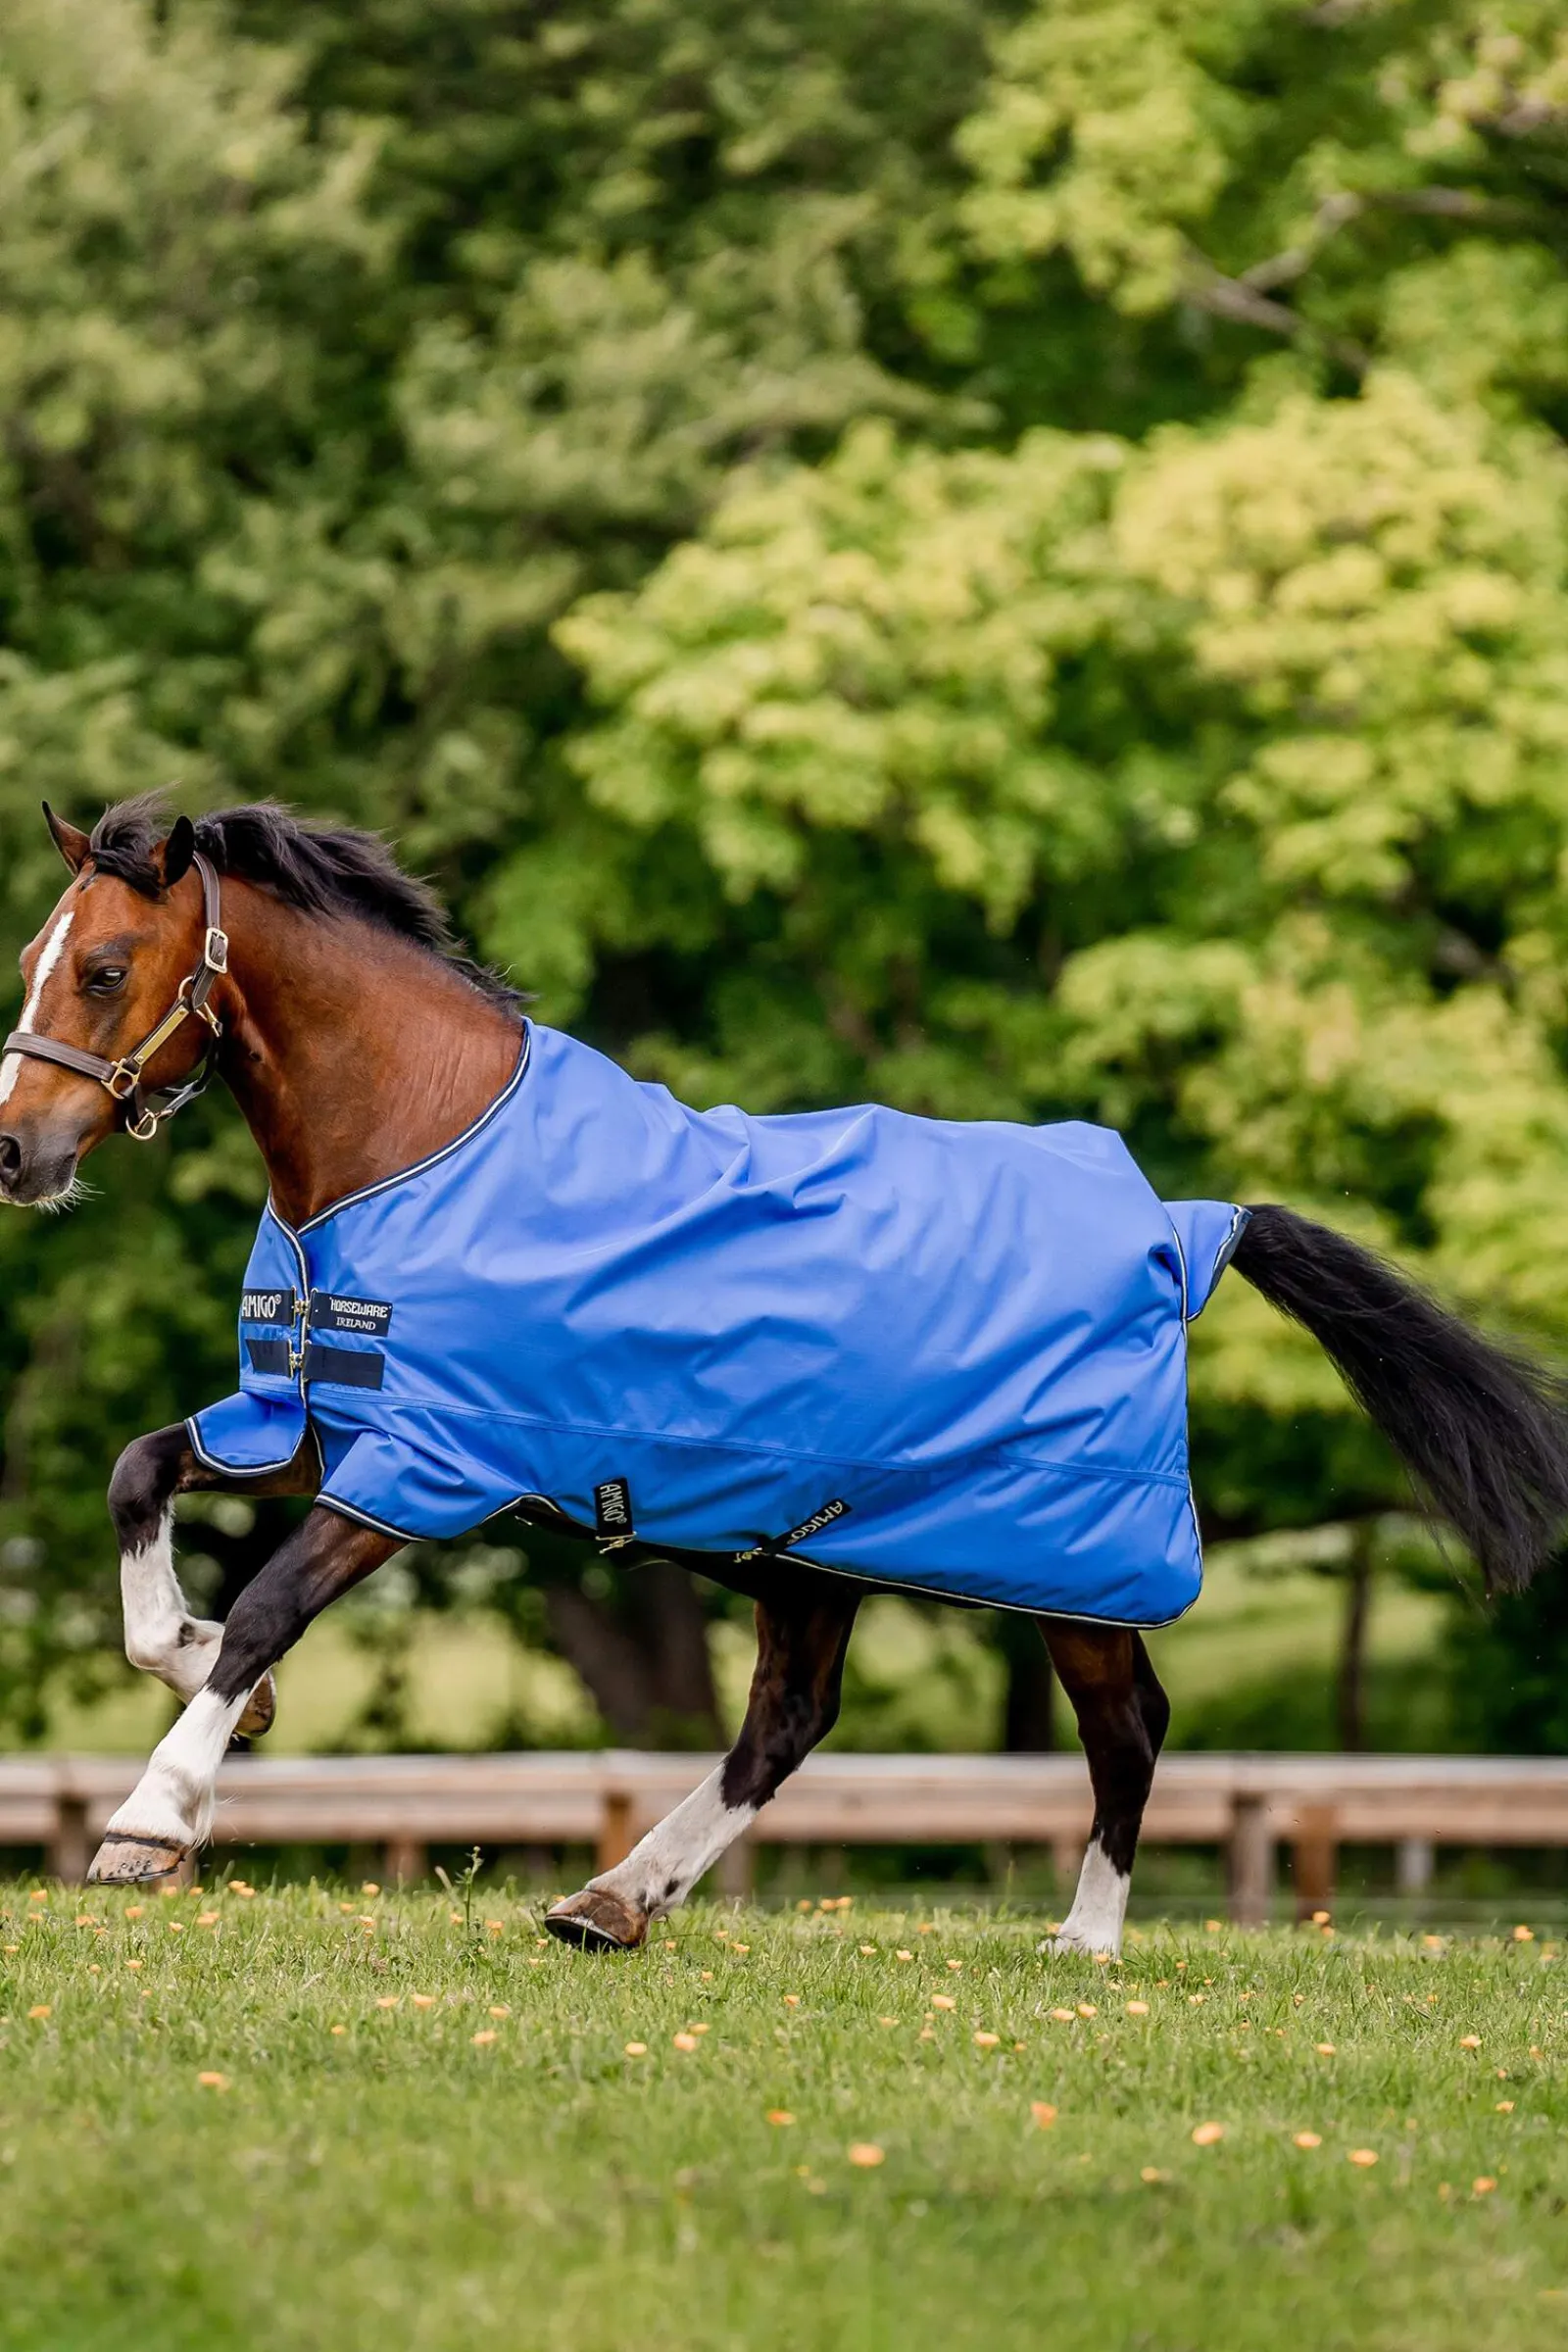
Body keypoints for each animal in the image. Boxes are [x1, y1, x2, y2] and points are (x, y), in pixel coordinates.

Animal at [3, 797, 1566, 1955]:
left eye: (103, 967)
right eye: (36, 954)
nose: (18, 1152)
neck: (418, 1142)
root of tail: (1180, 1224)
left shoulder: (431, 1463)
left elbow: (272, 1603)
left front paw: (153, 1821)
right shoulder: (310, 1419)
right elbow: (138, 1480)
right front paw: (207, 1670)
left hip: (1067, 1560)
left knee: (1127, 1729)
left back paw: (1085, 1940)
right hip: (816, 1553)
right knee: (786, 1726)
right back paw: (611, 1900)